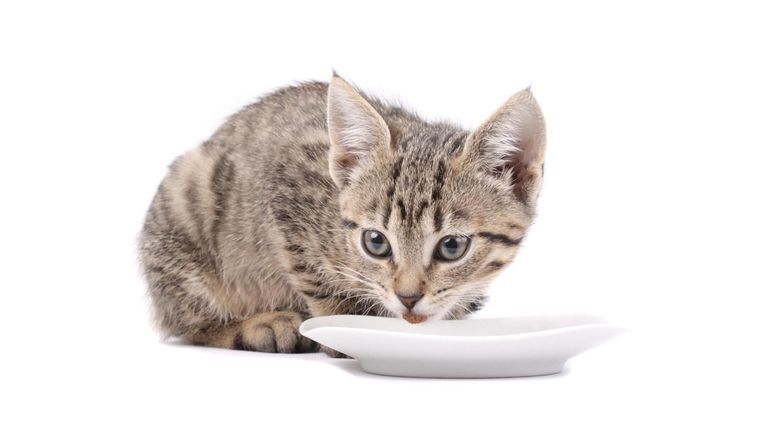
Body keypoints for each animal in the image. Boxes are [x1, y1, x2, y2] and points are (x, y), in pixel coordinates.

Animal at [140, 76, 544, 354]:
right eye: (376, 242)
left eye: (452, 246)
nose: (408, 298)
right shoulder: (287, 192)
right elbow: (317, 281)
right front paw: (349, 328)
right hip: (188, 198)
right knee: (188, 322)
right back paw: (260, 326)